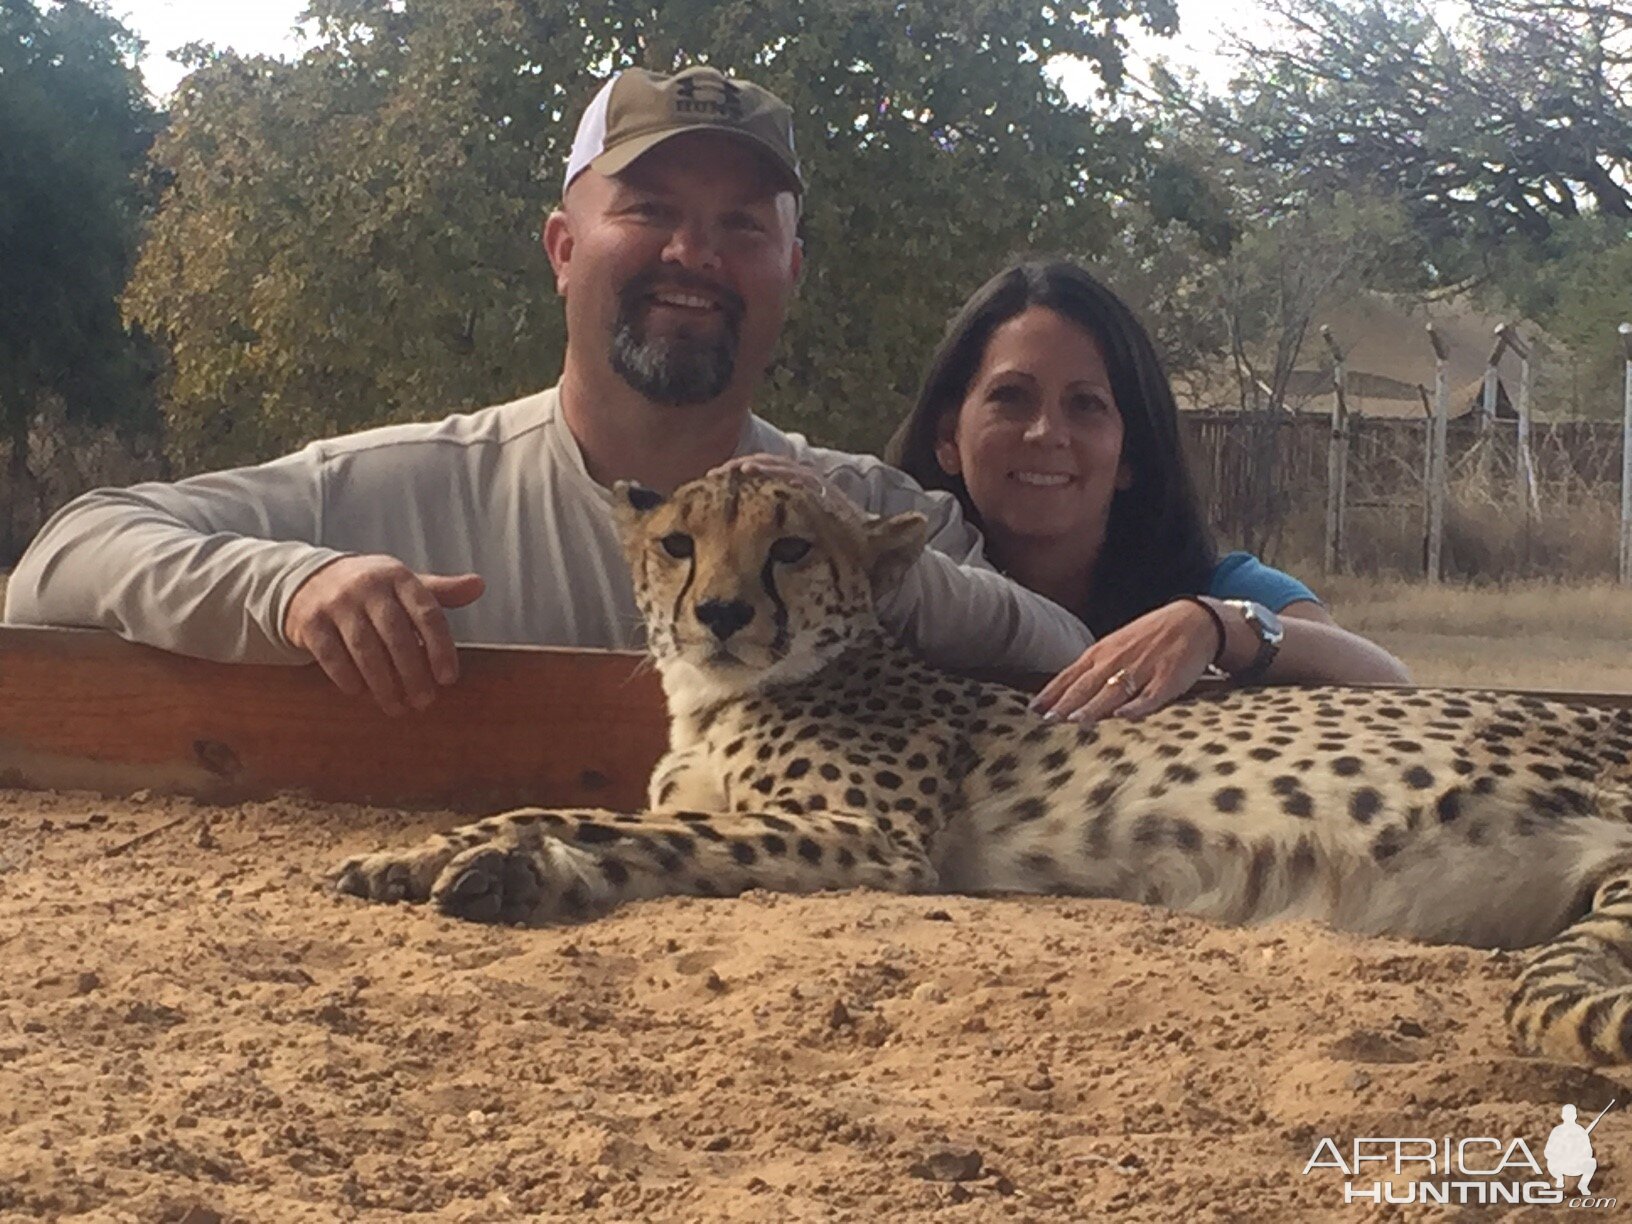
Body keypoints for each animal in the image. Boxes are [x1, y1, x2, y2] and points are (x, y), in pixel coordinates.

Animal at [337, 470, 1632, 1064]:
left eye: (789, 548)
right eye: (677, 544)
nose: (719, 613)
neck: (717, 701)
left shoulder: (865, 840)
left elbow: (631, 835)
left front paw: (503, 866)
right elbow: (567, 811)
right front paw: (418, 857)